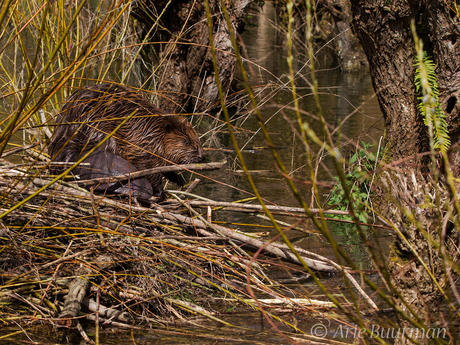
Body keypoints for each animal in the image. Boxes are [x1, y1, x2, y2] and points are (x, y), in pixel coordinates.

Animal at [47, 81, 204, 198]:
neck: (152, 130)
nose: (202, 157)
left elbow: (165, 168)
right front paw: (161, 194)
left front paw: (179, 181)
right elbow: (151, 171)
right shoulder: (144, 150)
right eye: (187, 142)